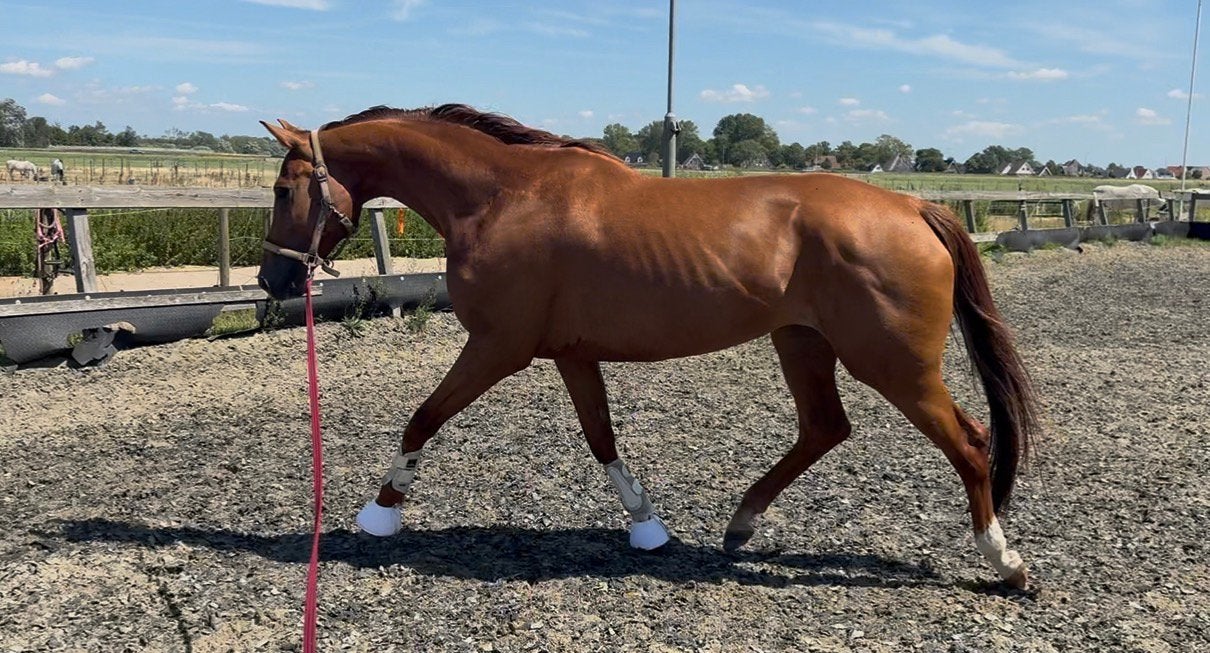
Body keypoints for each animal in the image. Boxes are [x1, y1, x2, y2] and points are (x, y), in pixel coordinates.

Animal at [257, 104, 1041, 589]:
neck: (501, 196)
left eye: (285, 188)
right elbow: (601, 436)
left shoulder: (498, 346)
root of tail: (913, 205)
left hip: (893, 362)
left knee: (970, 443)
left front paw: (381, 511)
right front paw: (647, 527)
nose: (272, 278)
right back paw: (740, 523)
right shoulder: (570, 353)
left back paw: (1004, 560)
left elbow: (423, 418)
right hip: (802, 343)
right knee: (825, 427)